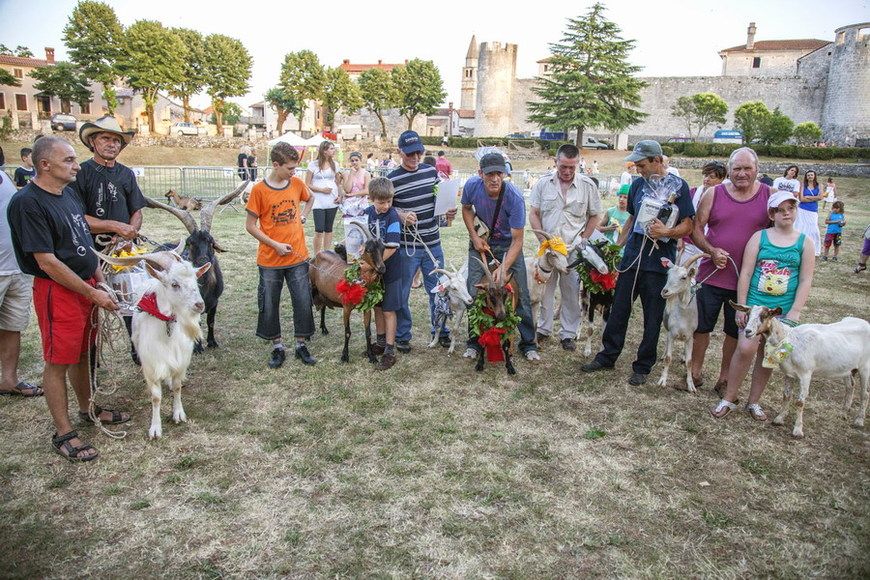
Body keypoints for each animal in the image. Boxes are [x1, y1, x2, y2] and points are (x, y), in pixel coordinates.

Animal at [99, 246, 213, 440]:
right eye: (174, 284)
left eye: (196, 280)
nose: (199, 305)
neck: (167, 333)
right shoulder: (151, 365)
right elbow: (156, 397)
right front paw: (155, 428)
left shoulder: (180, 361)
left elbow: (177, 387)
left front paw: (178, 414)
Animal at [310, 222, 384, 362]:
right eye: (369, 249)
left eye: (383, 248)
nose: (382, 268)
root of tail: (317, 254)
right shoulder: (346, 307)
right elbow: (348, 332)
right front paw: (344, 356)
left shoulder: (367, 308)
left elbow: (368, 332)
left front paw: (371, 356)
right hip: (311, 287)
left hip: (324, 292)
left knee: (323, 307)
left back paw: (324, 329)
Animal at [660, 253, 708, 392]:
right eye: (668, 274)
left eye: (683, 277)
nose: (665, 291)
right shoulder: (671, 333)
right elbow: (668, 358)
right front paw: (662, 381)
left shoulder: (690, 337)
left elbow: (689, 361)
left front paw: (691, 385)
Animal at [736, 302, 870, 438]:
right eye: (747, 314)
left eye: (764, 315)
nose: (748, 331)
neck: (790, 339)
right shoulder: (789, 374)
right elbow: (786, 396)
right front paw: (779, 419)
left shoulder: (806, 374)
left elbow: (800, 402)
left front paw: (798, 430)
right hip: (848, 368)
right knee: (850, 386)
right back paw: (843, 413)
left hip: (865, 367)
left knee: (864, 394)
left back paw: (859, 421)